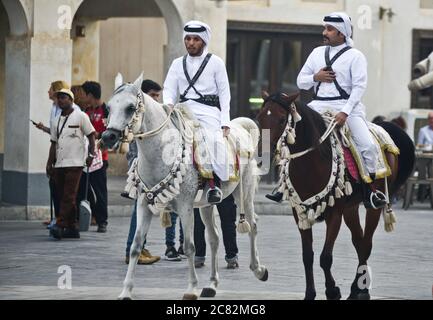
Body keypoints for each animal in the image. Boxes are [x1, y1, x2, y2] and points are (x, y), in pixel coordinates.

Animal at [102, 73, 266, 300]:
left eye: (130, 107)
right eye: (108, 107)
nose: (108, 137)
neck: (160, 153)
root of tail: (240, 127)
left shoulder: (185, 207)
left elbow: (189, 246)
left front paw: (191, 289)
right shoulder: (144, 204)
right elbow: (136, 246)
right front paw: (126, 291)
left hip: (244, 194)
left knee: (253, 225)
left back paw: (258, 269)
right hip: (206, 205)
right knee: (214, 238)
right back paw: (212, 284)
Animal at [256, 90, 416, 300]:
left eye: (282, 119)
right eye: (259, 117)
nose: (262, 157)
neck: (310, 163)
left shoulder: (335, 214)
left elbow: (325, 257)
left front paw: (332, 290)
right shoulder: (299, 213)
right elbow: (307, 256)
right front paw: (310, 293)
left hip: (372, 206)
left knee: (366, 243)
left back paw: (362, 290)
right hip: (350, 208)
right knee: (359, 241)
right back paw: (356, 288)